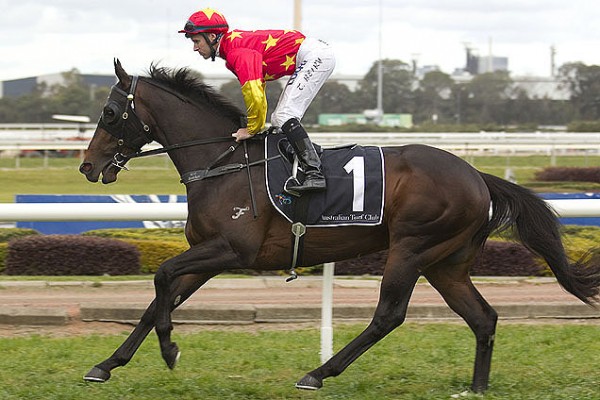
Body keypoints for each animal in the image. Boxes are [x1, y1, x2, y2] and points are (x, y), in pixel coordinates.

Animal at [78, 60, 600, 394]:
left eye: (109, 113)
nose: (87, 165)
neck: (222, 164)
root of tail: (477, 175)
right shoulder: (208, 255)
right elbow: (157, 300)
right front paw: (106, 365)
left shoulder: (233, 249)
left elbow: (161, 278)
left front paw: (170, 350)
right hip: (446, 263)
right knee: (483, 317)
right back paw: (476, 388)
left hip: (412, 248)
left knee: (389, 315)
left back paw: (318, 373)